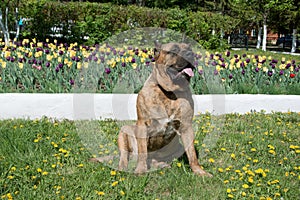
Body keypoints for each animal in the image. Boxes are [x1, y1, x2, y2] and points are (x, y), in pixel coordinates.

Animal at [116, 42, 211, 177]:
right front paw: (140, 170)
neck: (169, 92)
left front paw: (200, 171)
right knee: (125, 156)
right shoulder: (142, 124)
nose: (190, 54)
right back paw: (122, 167)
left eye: (189, 48)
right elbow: (143, 152)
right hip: (125, 131)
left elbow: (192, 154)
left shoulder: (186, 126)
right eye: (174, 50)